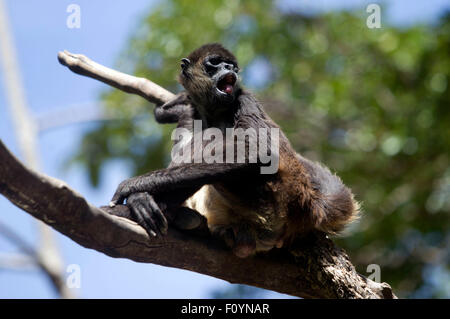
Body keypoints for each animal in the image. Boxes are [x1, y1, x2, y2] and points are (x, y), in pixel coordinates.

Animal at [110, 43, 358, 258]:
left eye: (231, 66)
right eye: (215, 63)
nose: (229, 70)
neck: (212, 114)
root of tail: (306, 204)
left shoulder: (244, 100)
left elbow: (260, 154)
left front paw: (135, 187)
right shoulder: (190, 112)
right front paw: (141, 197)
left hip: (269, 204)